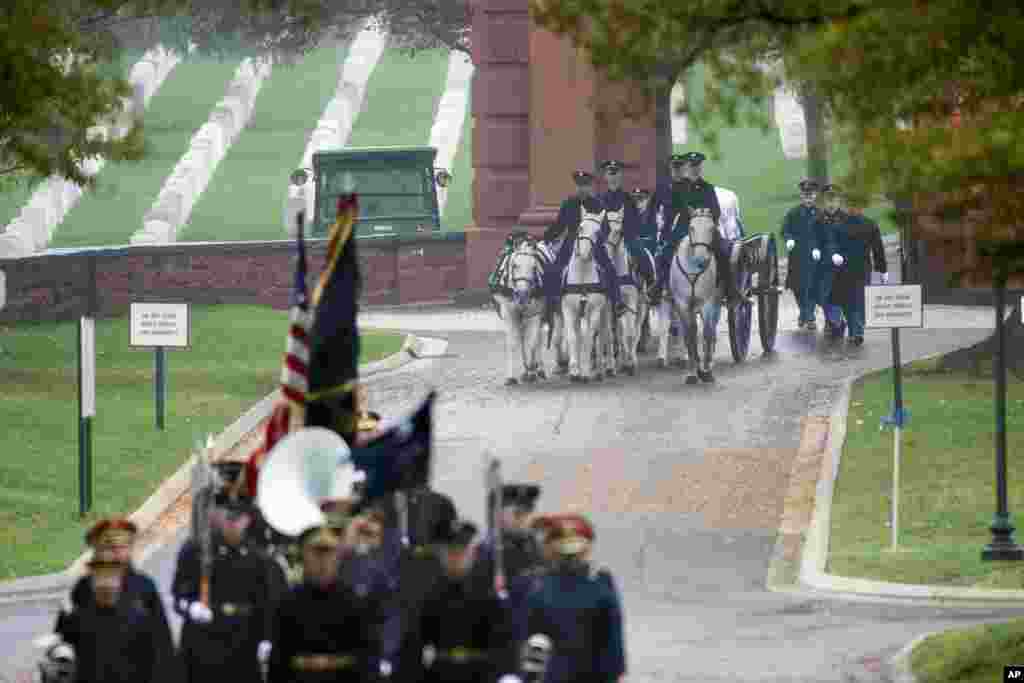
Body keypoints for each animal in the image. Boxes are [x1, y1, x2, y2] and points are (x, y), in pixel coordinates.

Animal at [491, 237, 548, 385]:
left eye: (534, 267)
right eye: (515, 265)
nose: (522, 295)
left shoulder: (535, 313)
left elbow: (531, 342)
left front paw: (531, 370)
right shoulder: (509, 313)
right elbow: (513, 343)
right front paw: (511, 377)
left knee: (537, 338)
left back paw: (537, 368)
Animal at [561, 208, 606, 382]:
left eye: (598, 232)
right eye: (580, 228)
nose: (585, 254)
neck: (582, 276)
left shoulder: (594, 311)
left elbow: (589, 338)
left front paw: (585, 371)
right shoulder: (568, 310)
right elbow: (573, 337)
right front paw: (574, 370)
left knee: (600, 336)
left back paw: (600, 369)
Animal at [655, 208, 729, 385]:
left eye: (711, 228)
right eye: (691, 228)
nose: (701, 259)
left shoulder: (707, 303)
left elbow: (707, 333)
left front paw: (706, 371)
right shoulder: (682, 303)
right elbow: (689, 335)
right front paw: (692, 372)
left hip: (715, 300)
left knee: (712, 329)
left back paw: (709, 362)